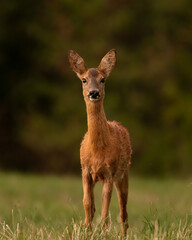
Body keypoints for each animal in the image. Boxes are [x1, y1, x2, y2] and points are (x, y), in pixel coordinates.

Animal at [68, 48, 132, 234]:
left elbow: (105, 210)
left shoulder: (109, 173)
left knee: (123, 210)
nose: (94, 92)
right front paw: (87, 232)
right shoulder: (85, 170)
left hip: (124, 173)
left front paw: (102, 234)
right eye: (84, 79)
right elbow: (88, 204)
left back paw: (124, 235)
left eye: (103, 79)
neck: (97, 151)